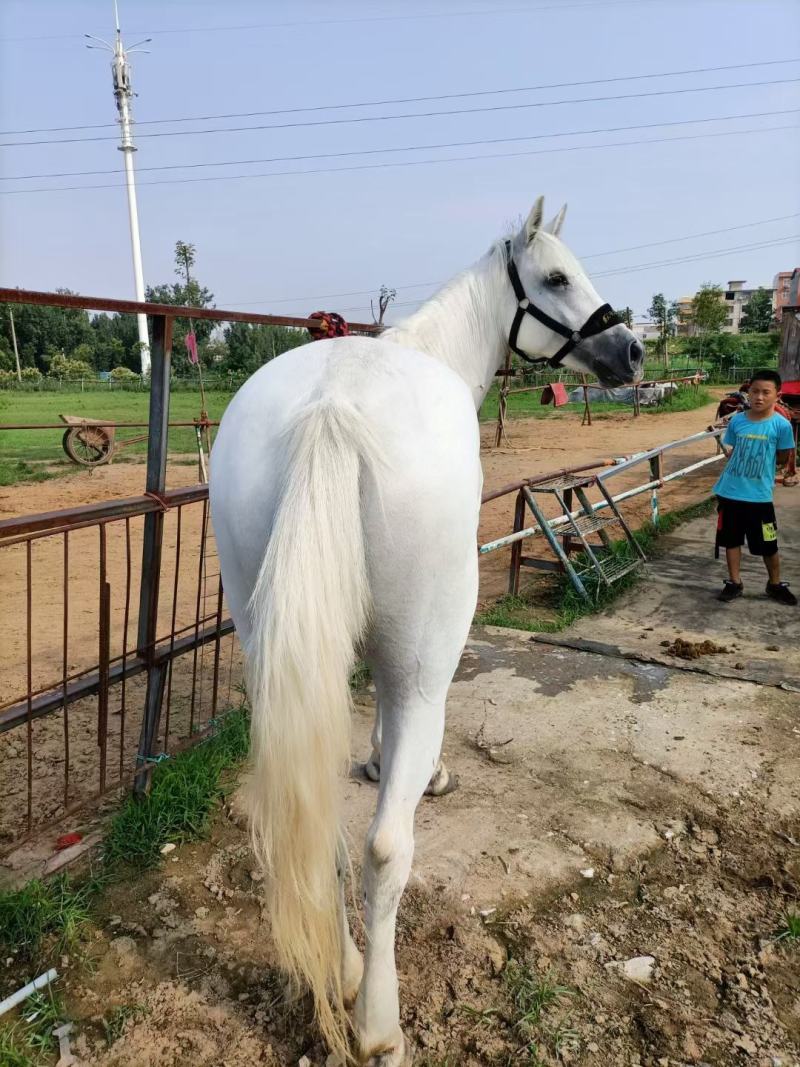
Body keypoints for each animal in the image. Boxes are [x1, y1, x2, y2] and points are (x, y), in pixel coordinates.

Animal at [209, 196, 644, 1064]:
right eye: (557, 277)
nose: (632, 350)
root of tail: (332, 410)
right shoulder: (409, 660)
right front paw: (409, 768)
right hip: (424, 664)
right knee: (384, 847)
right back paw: (378, 1024)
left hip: (265, 640)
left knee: (330, 832)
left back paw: (342, 970)